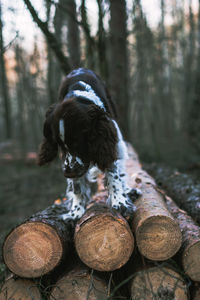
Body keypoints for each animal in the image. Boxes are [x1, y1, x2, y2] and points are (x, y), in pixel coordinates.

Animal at [37, 68, 141, 219]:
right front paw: (75, 212)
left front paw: (120, 202)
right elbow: (77, 187)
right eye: (59, 145)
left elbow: (114, 173)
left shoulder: (107, 141)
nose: (68, 173)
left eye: (77, 141)